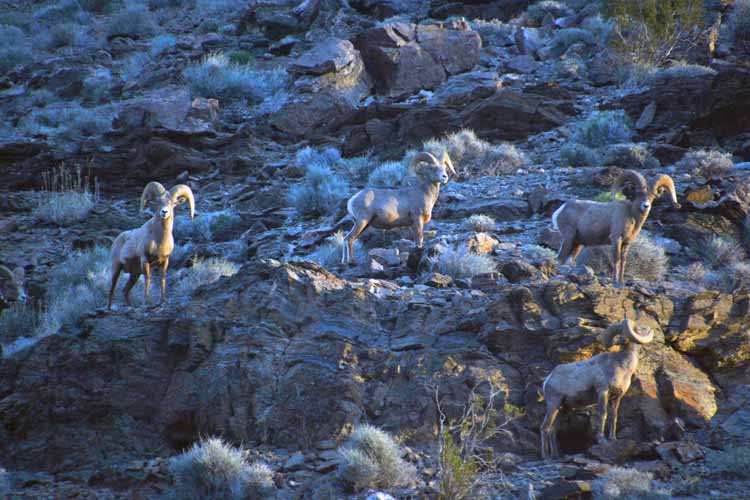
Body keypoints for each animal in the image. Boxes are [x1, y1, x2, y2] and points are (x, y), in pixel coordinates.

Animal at [540, 320, 656, 458]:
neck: (622, 367)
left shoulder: (616, 397)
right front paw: (602, 440)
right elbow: (603, 414)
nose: (623, 339)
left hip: (564, 409)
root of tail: (548, 379)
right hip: (553, 404)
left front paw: (613, 439)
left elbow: (614, 416)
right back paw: (545, 456)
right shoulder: (603, 391)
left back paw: (556, 455)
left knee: (553, 430)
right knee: (545, 428)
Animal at [552, 169, 680, 284]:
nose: (646, 206)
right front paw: (614, 281)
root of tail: (560, 210)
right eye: (638, 194)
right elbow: (616, 259)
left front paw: (621, 281)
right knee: (560, 258)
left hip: (577, 244)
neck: (631, 216)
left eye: (652, 196)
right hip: (569, 238)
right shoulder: (616, 239)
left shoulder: (626, 243)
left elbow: (623, 261)